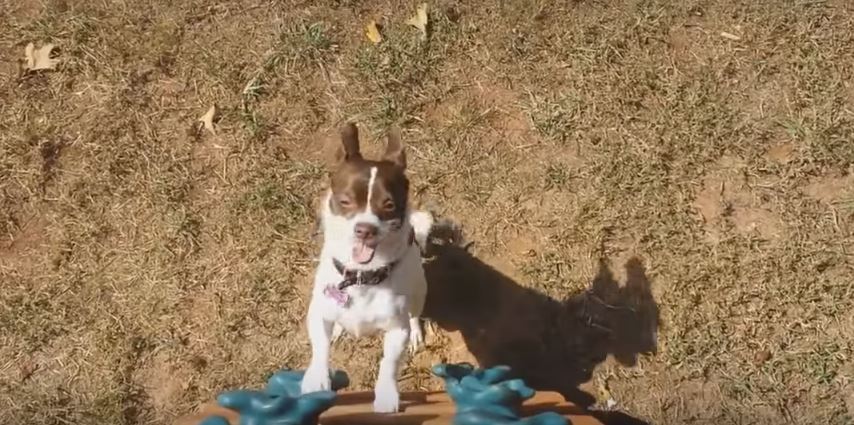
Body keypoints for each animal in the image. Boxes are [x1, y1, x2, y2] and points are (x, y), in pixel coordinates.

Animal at [302, 121, 434, 410]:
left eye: (389, 205)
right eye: (345, 201)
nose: (365, 229)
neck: (361, 276)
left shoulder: (396, 329)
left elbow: (389, 362)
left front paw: (386, 393)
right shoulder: (318, 314)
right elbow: (319, 347)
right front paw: (316, 378)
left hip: (420, 289)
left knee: (414, 314)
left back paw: (416, 332)